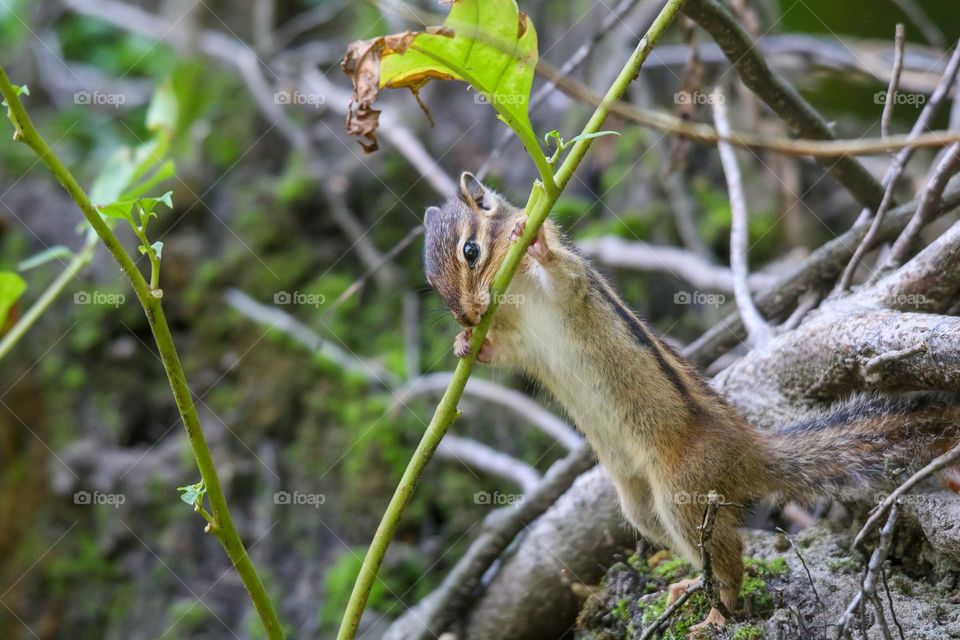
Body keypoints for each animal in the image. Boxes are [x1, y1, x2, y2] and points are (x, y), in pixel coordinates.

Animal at [424, 172, 960, 631]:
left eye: (470, 250)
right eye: (432, 283)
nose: (467, 315)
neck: (512, 293)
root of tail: (748, 449)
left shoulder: (570, 289)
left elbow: (565, 276)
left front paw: (528, 239)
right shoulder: (518, 341)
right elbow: (503, 350)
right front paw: (465, 344)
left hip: (683, 492)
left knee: (733, 558)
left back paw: (719, 612)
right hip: (642, 505)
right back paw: (689, 587)